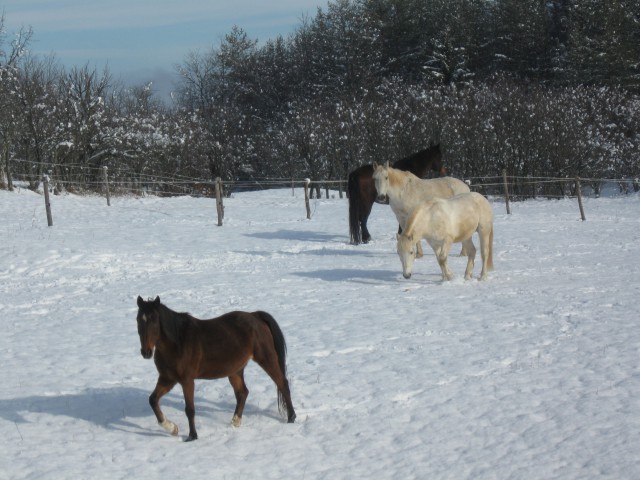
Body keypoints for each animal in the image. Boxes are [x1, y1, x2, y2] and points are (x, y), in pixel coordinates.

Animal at [136, 294, 296, 440]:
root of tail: (255, 316)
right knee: (243, 392)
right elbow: (153, 400)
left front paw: (192, 436)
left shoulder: (187, 381)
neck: (177, 343)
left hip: (266, 359)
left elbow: (190, 409)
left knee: (282, 383)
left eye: (154, 320)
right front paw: (172, 428)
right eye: (138, 320)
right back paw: (235, 422)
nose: (146, 352)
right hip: (235, 370)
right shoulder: (167, 379)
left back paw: (291, 417)